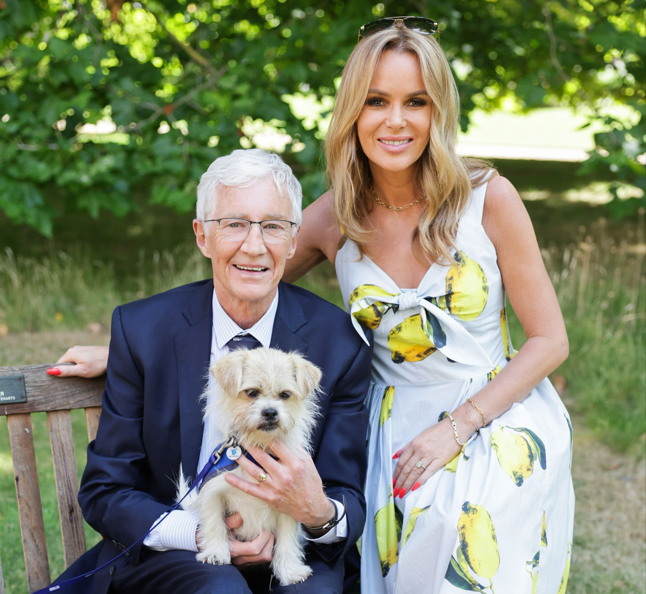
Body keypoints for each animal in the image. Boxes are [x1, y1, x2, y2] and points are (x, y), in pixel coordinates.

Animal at [178, 346, 322, 584]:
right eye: (252, 392)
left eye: (285, 395)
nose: (270, 412)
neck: (258, 448)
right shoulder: (213, 492)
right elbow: (214, 523)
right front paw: (216, 552)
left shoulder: (290, 504)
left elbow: (287, 540)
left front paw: (290, 570)